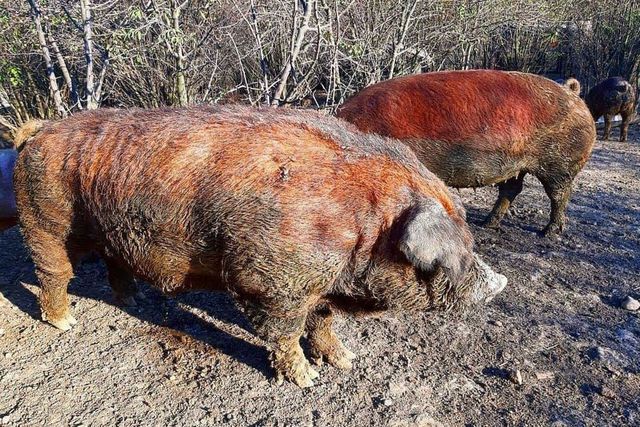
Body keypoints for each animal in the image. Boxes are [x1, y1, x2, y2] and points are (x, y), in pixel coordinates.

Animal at [12, 106, 508, 388]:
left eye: (469, 238)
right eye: (458, 251)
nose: (499, 282)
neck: (364, 229)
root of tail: (36, 131)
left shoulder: (320, 285)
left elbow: (323, 323)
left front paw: (347, 362)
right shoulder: (271, 282)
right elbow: (284, 333)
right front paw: (308, 382)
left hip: (111, 231)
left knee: (116, 265)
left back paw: (132, 301)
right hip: (45, 217)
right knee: (53, 270)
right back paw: (65, 324)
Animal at [338, 71, 596, 237]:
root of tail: (574, 95)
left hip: (561, 164)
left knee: (559, 194)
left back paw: (548, 233)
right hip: (516, 165)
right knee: (511, 189)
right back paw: (487, 224)